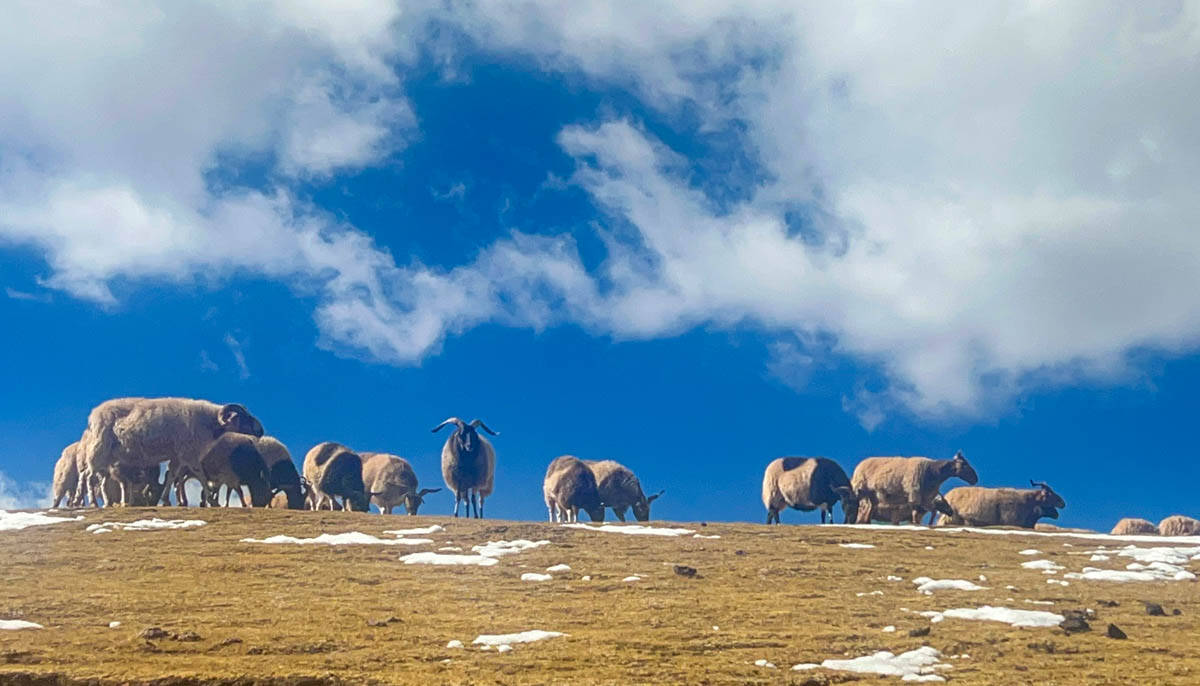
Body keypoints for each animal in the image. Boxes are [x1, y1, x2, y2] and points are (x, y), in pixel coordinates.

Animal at [76, 393, 262, 506]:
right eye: (243, 417)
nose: (261, 431)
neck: (209, 422)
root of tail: (93, 415)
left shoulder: (177, 456)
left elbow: (171, 476)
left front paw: (166, 500)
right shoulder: (189, 453)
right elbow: (201, 475)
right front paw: (212, 500)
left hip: (107, 456)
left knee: (93, 477)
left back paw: (94, 501)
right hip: (100, 448)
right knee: (89, 476)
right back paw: (92, 502)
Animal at [849, 450, 979, 525]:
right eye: (964, 464)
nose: (975, 479)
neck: (933, 471)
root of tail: (859, 465)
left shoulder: (925, 497)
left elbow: (931, 511)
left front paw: (927, 524)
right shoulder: (914, 493)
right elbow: (916, 513)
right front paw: (917, 525)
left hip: (873, 495)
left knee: (869, 509)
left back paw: (866, 522)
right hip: (862, 490)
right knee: (861, 508)